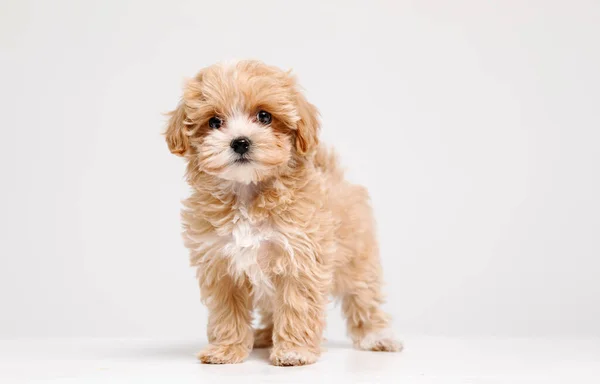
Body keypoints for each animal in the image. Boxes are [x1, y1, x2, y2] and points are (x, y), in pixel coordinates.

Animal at [163, 59, 404, 366]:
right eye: (214, 122)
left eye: (264, 116)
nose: (240, 142)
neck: (247, 194)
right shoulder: (221, 266)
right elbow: (227, 312)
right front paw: (226, 350)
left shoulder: (299, 260)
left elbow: (296, 306)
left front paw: (293, 351)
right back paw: (265, 336)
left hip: (357, 259)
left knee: (363, 296)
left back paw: (377, 335)